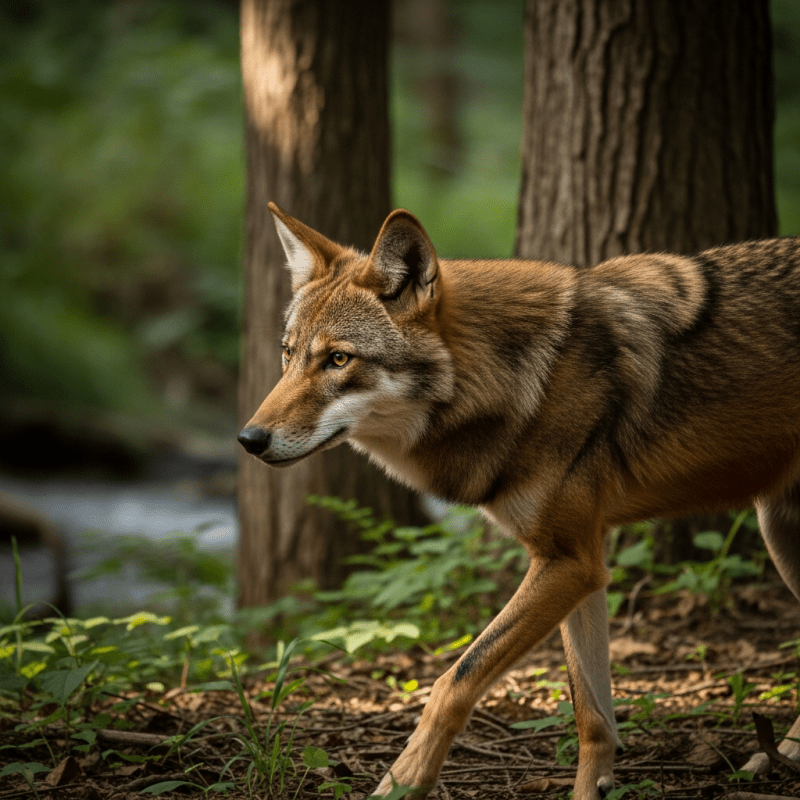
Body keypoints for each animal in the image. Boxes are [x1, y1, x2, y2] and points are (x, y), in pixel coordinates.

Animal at [239, 202, 800, 799]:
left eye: (339, 360)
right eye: (288, 354)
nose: (248, 439)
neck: (527, 380)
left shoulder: (568, 563)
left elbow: (453, 681)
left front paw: (402, 781)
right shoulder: (581, 564)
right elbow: (592, 716)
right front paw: (590, 789)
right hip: (778, 531)